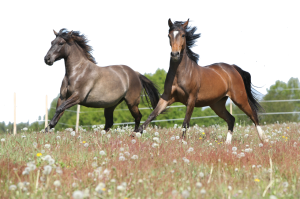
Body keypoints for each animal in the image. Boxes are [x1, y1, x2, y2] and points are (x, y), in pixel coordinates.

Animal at [134, 18, 268, 144]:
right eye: (169, 35)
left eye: (183, 35)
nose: (175, 54)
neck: (180, 74)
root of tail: (232, 67)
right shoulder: (167, 98)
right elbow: (152, 115)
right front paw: (135, 134)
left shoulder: (191, 99)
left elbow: (185, 122)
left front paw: (182, 142)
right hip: (217, 104)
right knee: (231, 119)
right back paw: (227, 143)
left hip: (240, 99)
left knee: (253, 115)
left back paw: (264, 140)